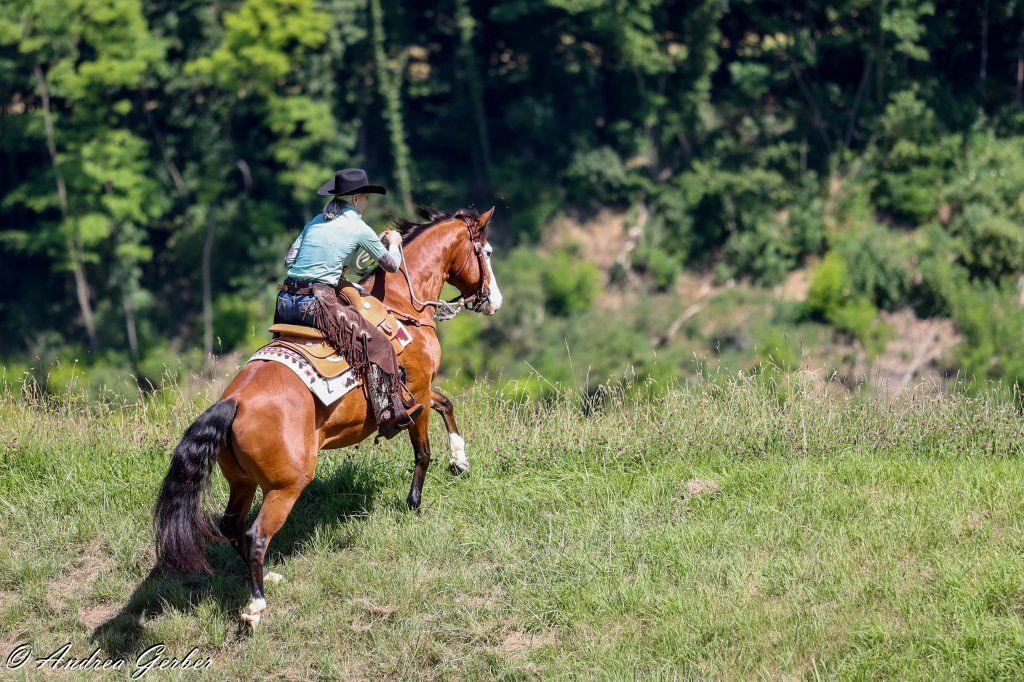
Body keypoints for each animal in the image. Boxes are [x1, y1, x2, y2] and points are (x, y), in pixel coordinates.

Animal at [153, 207, 502, 627]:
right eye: (486, 251)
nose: (494, 300)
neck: (402, 306)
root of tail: (232, 402)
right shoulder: (416, 390)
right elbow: (422, 451)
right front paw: (415, 503)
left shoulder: (417, 393)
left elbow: (445, 404)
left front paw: (460, 459)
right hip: (286, 486)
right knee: (255, 535)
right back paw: (256, 605)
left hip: (242, 481)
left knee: (232, 526)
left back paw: (269, 576)